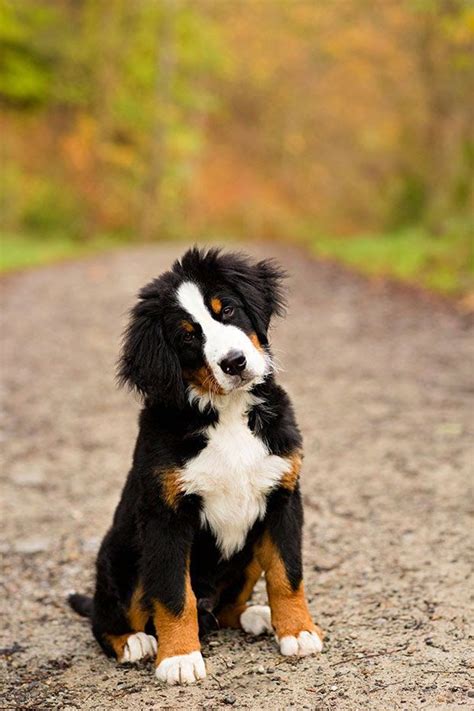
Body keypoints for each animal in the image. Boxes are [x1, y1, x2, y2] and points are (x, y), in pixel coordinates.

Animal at [68, 249, 324, 684]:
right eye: (188, 336)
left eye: (229, 310)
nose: (235, 362)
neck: (227, 412)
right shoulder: (166, 516)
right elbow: (174, 594)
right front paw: (179, 658)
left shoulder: (283, 496)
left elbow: (287, 574)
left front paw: (298, 631)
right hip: (123, 555)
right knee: (106, 619)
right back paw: (133, 642)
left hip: (248, 551)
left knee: (228, 606)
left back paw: (257, 616)